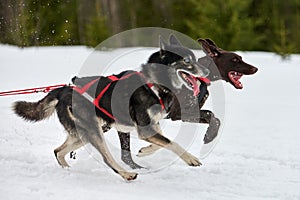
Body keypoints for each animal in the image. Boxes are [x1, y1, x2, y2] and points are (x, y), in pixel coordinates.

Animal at [13, 34, 209, 181]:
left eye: (195, 58)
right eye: (186, 60)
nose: (207, 71)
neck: (152, 83)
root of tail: (63, 91)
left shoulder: (150, 126)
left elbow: (162, 142)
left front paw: (145, 151)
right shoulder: (145, 129)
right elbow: (172, 142)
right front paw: (190, 158)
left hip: (84, 134)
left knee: (58, 151)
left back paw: (68, 171)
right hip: (94, 132)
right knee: (106, 158)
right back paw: (126, 174)